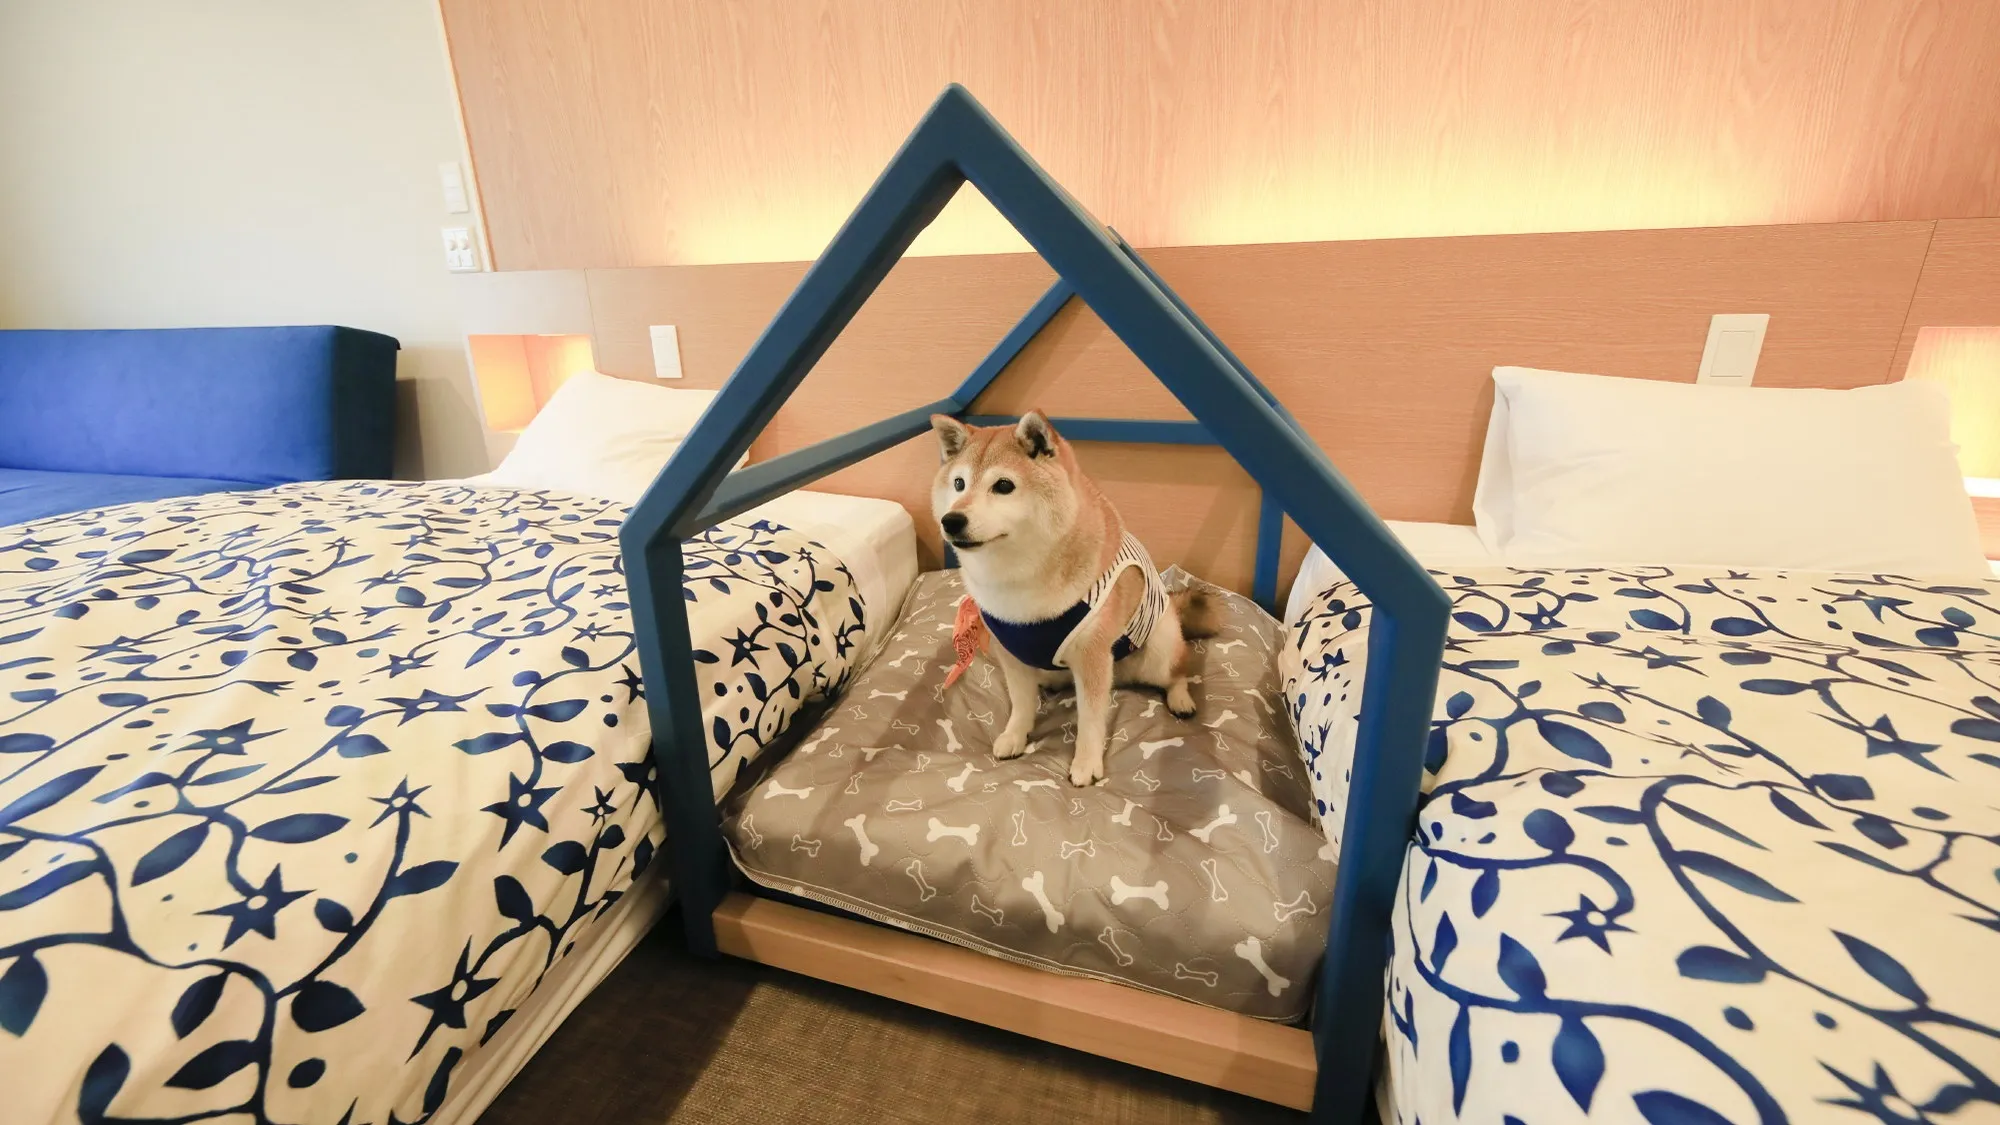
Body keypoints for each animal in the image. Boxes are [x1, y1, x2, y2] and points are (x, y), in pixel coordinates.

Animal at [931, 410, 1217, 786]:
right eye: (959, 484)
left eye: (1003, 486)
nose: (951, 520)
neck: (1018, 579)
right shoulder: (1009, 650)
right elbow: (1021, 703)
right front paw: (1015, 734)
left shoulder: (1092, 655)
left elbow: (1091, 720)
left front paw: (1086, 762)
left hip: (1158, 648)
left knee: (1178, 670)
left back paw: (1181, 697)